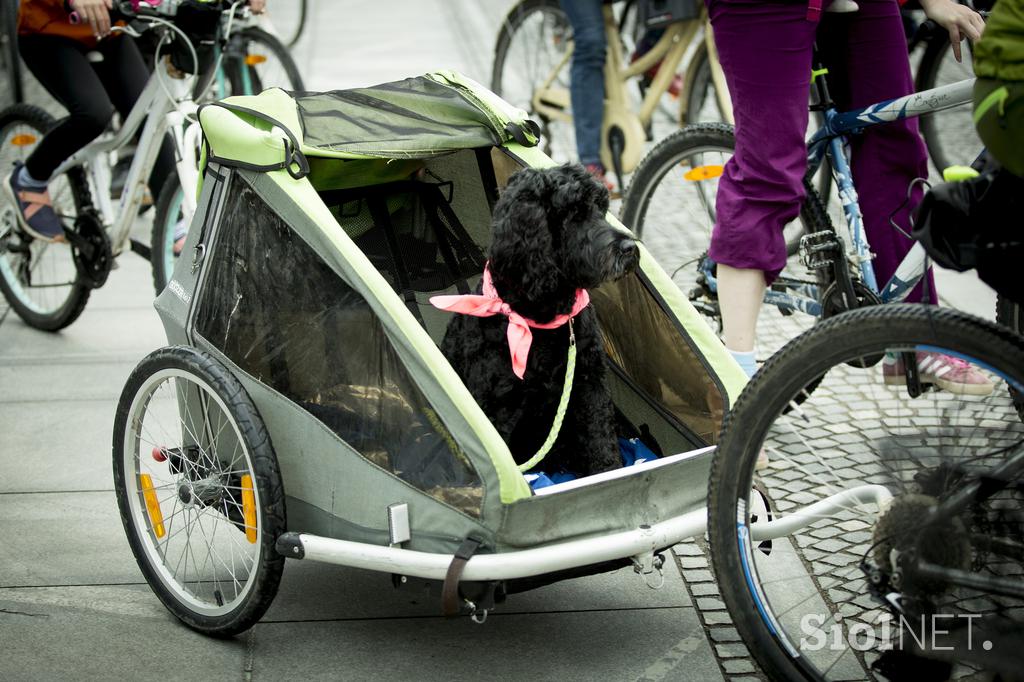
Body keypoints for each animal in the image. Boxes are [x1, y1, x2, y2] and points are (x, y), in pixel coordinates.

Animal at [440, 163, 638, 473]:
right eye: (575, 213)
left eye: (601, 207)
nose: (629, 248)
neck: (543, 319)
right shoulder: (497, 406)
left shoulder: (589, 385)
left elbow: (601, 440)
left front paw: (609, 471)